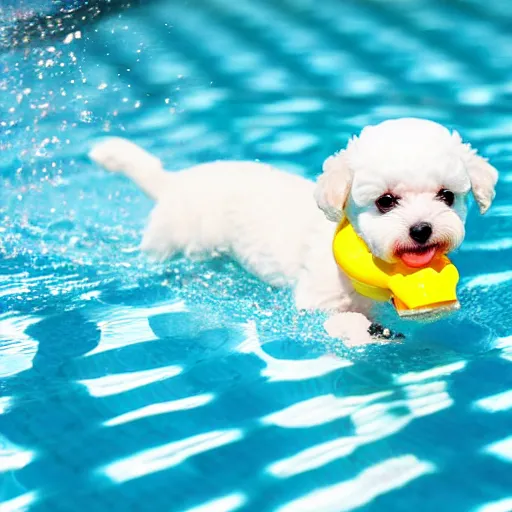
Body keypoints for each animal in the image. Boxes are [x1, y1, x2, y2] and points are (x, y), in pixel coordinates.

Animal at [90, 118, 498, 346]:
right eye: (385, 201)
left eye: (447, 196)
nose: (421, 229)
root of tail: (172, 183)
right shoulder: (316, 299)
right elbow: (333, 318)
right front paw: (361, 332)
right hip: (168, 240)